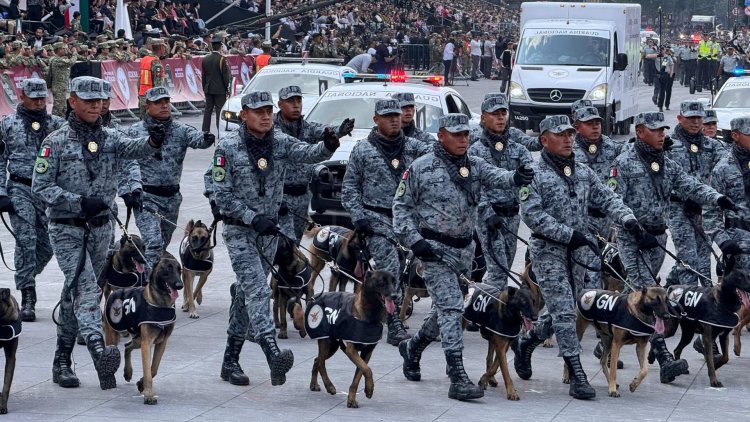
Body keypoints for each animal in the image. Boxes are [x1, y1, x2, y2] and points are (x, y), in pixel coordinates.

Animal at [106, 252, 184, 404]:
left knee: (127, 346)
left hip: (138, 340)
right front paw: (148, 395)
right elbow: (148, 371)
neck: (161, 304)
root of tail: (114, 293)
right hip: (118, 338)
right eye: (168, 269)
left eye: (180, 270)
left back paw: (128, 372)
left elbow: (153, 369)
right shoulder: (147, 344)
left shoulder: (161, 343)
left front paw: (141, 384)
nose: (179, 285)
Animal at [304, 270, 402, 408]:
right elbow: (368, 370)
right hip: (326, 343)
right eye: (381, 282)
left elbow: (359, 374)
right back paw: (329, 386)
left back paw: (314, 384)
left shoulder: (366, 353)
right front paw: (370, 388)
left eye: (394, 282)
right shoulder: (352, 350)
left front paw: (352, 398)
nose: (395, 296)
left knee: (316, 360)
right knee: (321, 362)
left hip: (333, 346)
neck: (371, 312)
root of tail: (315, 297)